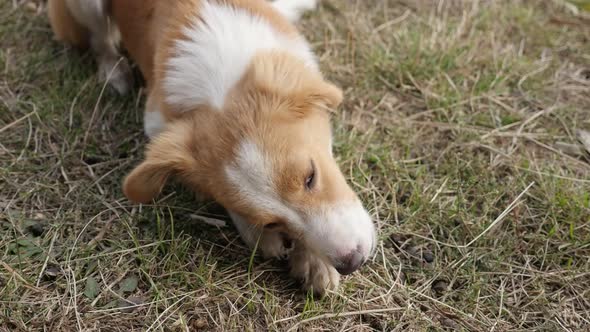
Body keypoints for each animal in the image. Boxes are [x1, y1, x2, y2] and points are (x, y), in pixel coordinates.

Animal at [48, 0, 376, 294]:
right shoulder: (158, 123)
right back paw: (114, 72)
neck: (217, 81)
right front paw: (265, 238)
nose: (352, 262)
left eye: (310, 177)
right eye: (271, 222)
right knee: (100, 40)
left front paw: (315, 263)